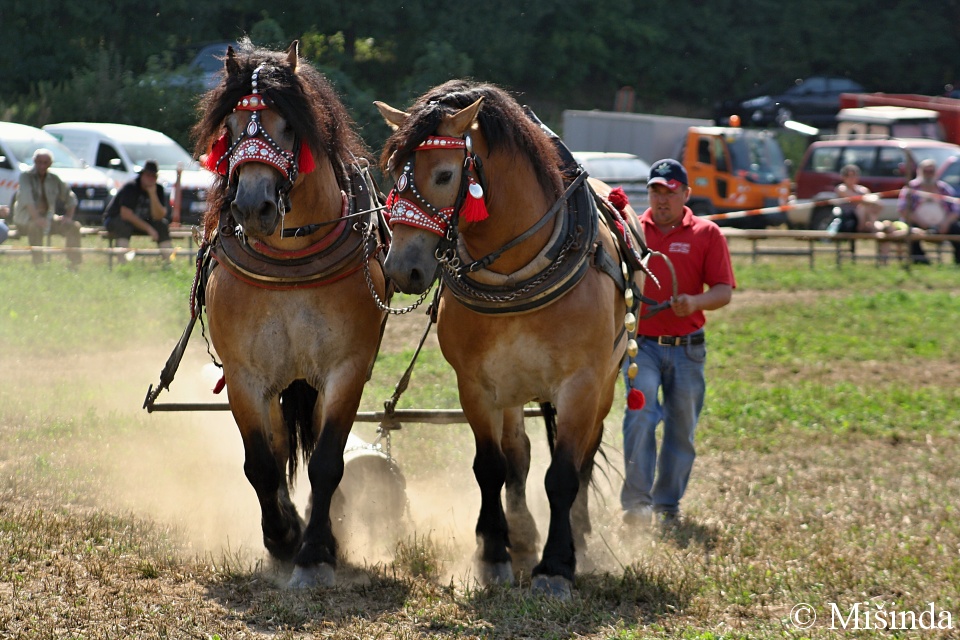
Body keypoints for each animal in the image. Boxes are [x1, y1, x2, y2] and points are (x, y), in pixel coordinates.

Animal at [193, 41, 388, 592]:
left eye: (286, 125)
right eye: (233, 127)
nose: (252, 205)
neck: (291, 263)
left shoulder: (345, 371)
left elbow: (326, 463)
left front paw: (316, 552)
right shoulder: (246, 378)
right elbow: (261, 463)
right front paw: (282, 537)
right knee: (279, 449)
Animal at [376, 81, 644, 600]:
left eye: (444, 174)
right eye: (393, 174)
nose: (401, 267)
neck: (517, 271)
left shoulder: (581, 384)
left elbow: (563, 475)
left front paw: (556, 565)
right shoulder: (477, 385)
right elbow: (492, 466)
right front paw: (494, 553)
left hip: (603, 384)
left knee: (583, 459)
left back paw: (578, 535)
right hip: (515, 389)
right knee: (518, 457)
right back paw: (522, 537)